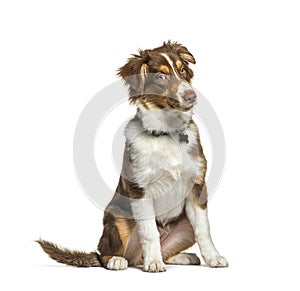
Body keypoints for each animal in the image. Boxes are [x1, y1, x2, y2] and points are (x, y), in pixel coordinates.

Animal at [38, 41, 229, 274]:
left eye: (182, 70)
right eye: (161, 77)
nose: (191, 96)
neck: (167, 133)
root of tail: (135, 257)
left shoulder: (196, 188)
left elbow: (204, 229)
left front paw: (213, 258)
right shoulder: (140, 191)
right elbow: (149, 232)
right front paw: (154, 262)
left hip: (184, 226)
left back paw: (182, 257)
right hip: (116, 216)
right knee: (105, 253)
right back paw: (118, 260)